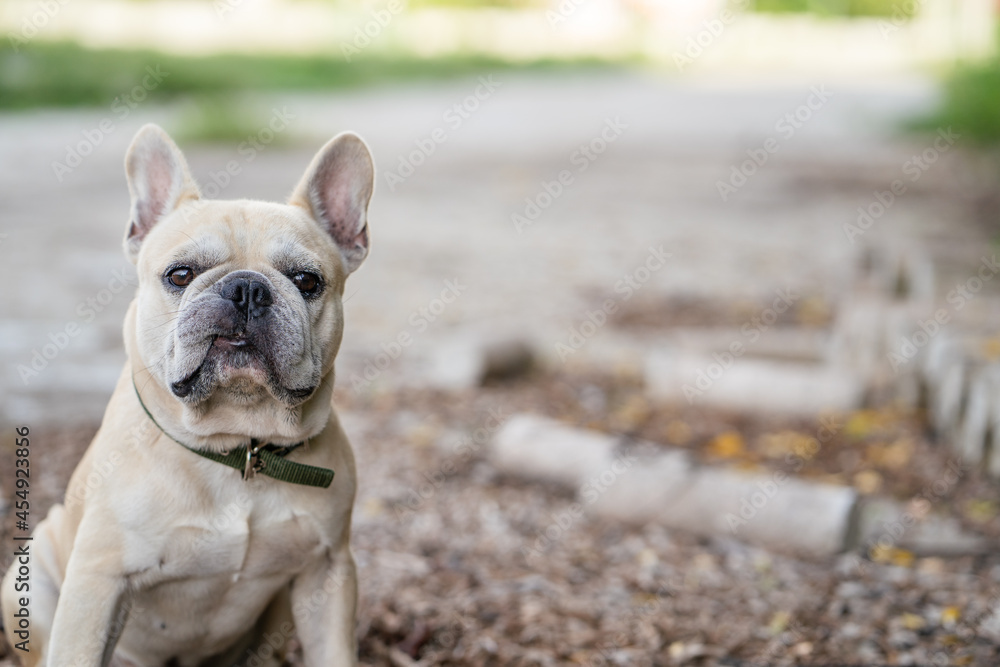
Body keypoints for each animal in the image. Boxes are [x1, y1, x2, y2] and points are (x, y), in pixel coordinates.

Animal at [0, 125, 376, 667]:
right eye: (179, 275)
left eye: (307, 280)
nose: (247, 288)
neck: (236, 445)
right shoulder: (96, 582)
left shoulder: (328, 571)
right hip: (28, 579)